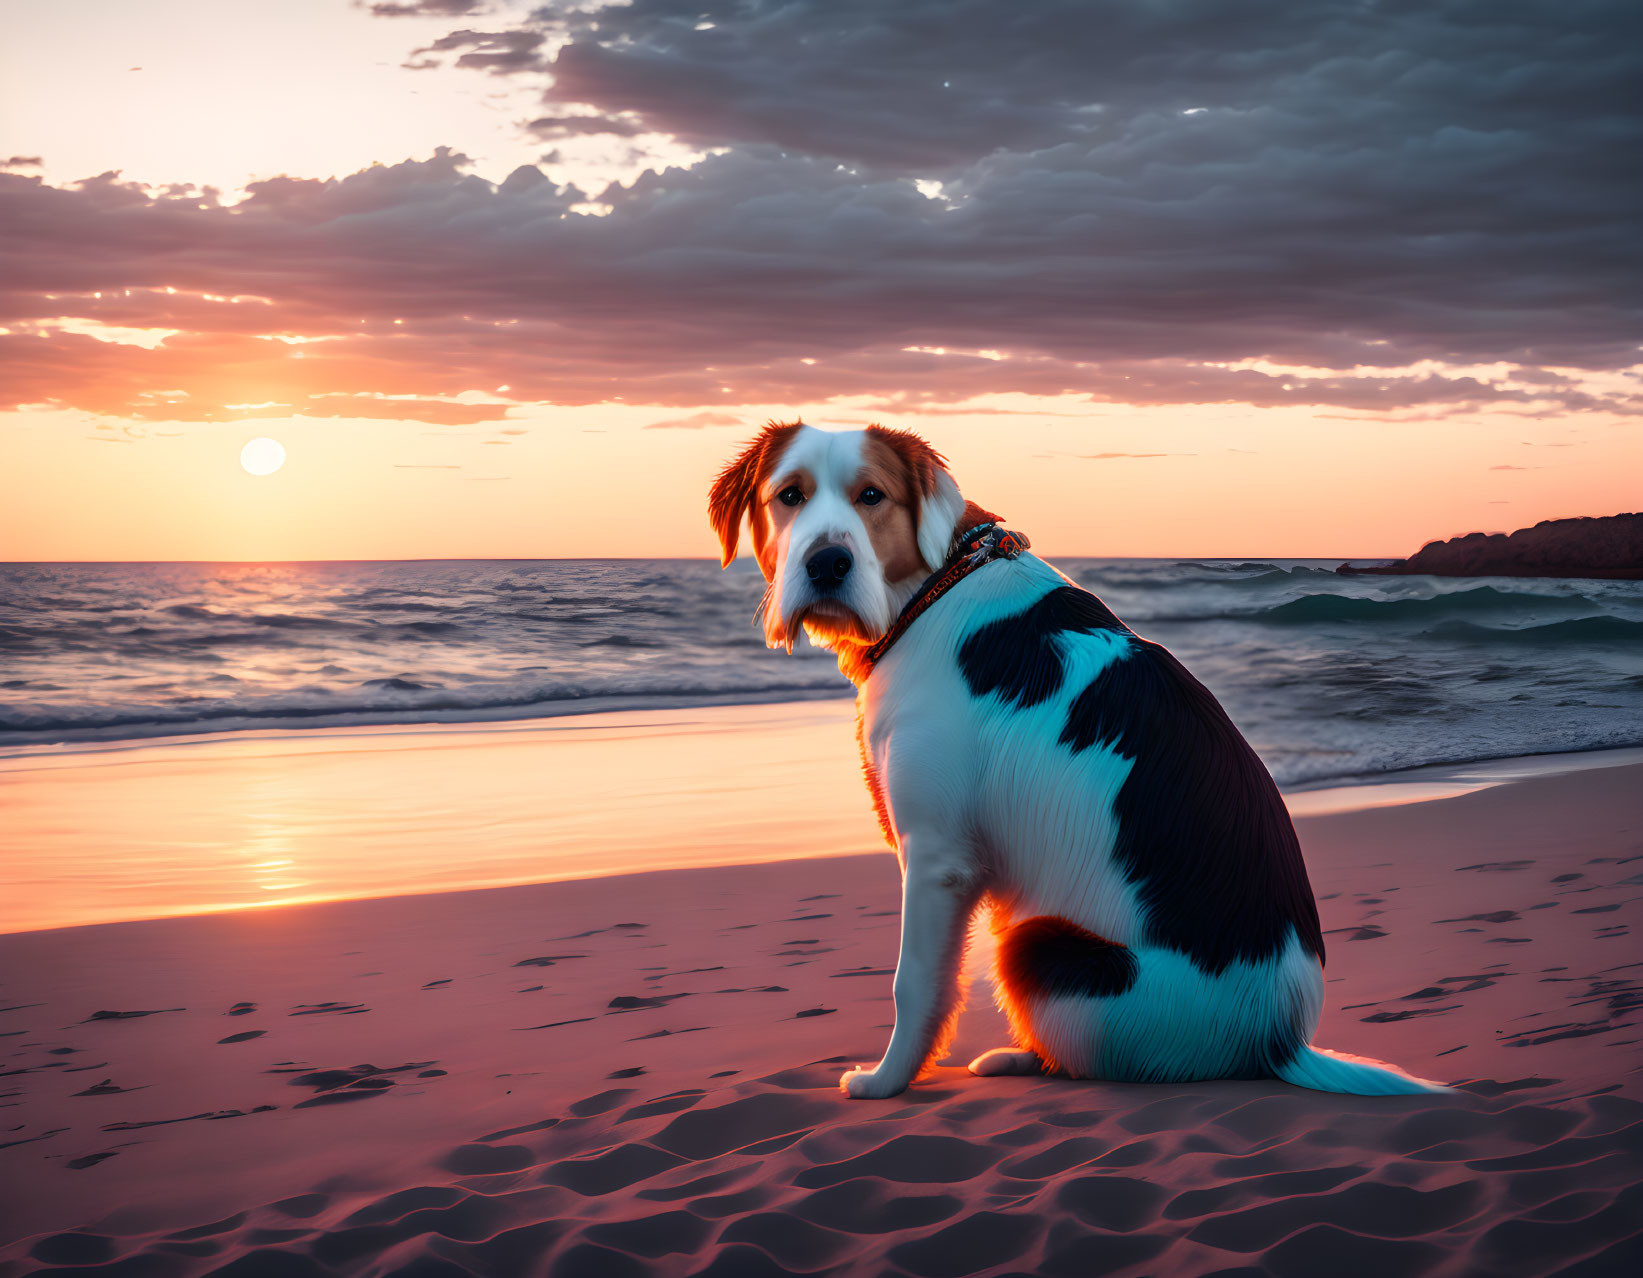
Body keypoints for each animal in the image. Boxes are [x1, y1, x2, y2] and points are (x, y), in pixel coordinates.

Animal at [706, 420, 1439, 1097]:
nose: (826, 563)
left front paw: (886, 1081)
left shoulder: (938, 857)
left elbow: (913, 984)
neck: (934, 586)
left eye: (871, 495)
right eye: (789, 496)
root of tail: (1279, 1041)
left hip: (1033, 944)